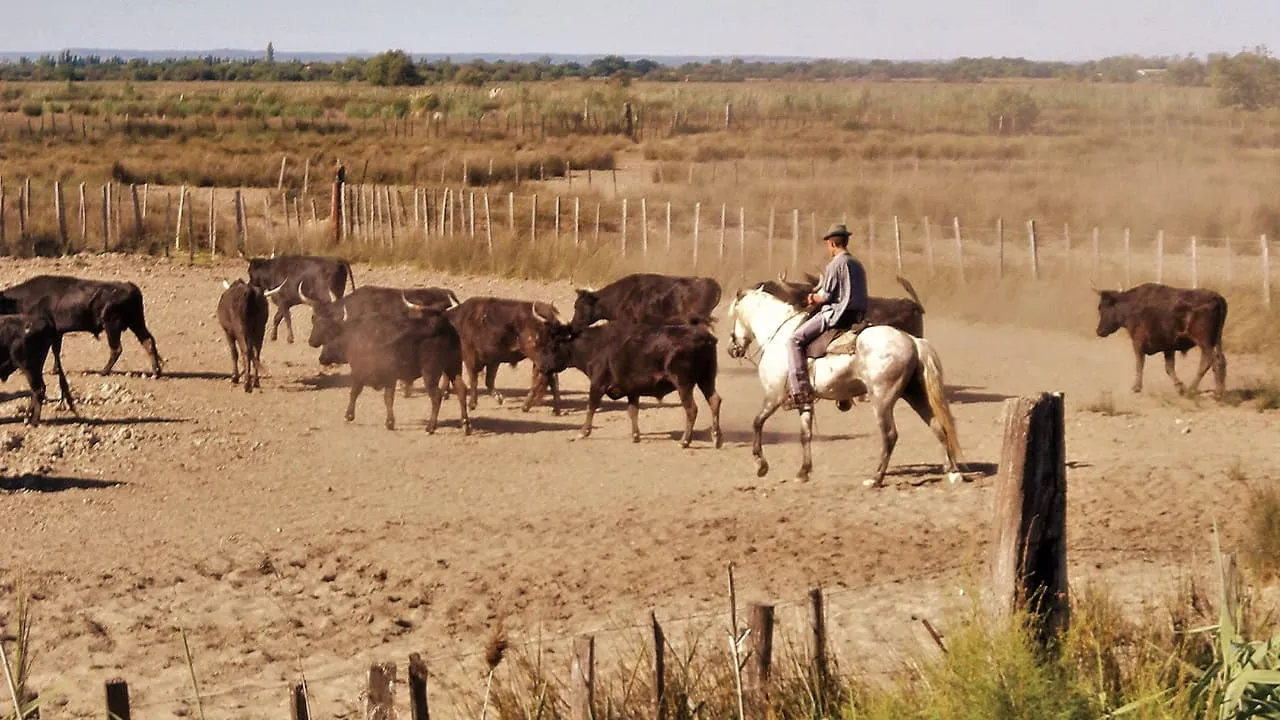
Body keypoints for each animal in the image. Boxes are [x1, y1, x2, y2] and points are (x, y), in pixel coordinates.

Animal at [318, 307, 471, 430]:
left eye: (329, 337)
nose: (321, 358)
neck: (357, 336)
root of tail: (441, 325)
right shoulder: (390, 379)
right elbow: (388, 398)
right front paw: (390, 422)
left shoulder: (360, 373)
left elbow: (355, 393)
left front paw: (349, 415)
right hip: (453, 367)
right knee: (461, 389)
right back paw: (465, 424)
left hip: (430, 373)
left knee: (436, 396)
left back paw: (430, 427)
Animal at [537, 320, 721, 445]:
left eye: (554, 344)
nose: (541, 366)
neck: (595, 345)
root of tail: (706, 337)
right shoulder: (632, 390)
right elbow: (633, 411)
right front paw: (635, 436)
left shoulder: (598, 383)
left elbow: (591, 407)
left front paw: (583, 432)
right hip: (707, 379)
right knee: (714, 401)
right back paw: (716, 438)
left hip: (684, 384)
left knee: (691, 409)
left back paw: (685, 441)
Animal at [727, 284, 962, 481]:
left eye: (734, 316)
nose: (732, 349)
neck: (780, 335)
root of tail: (912, 341)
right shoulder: (804, 399)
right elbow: (805, 434)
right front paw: (804, 471)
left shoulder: (773, 395)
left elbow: (757, 422)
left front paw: (761, 465)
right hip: (915, 394)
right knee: (937, 426)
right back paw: (952, 472)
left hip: (882, 400)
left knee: (890, 435)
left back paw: (876, 478)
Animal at [1095, 280, 1223, 397]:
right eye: (1099, 307)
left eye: (1104, 307)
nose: (1099, 331)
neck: (1131, 305)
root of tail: (1217, 298)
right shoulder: (1169, 348)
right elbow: (1169, 368)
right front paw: (1180, 387)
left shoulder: (1138, 343)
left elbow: (1139, 365)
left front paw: (1136, 387)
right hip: (1215, 341)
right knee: (1220, 360)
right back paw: (1218, 391)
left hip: (1204, 343)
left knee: (1210, 362)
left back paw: (1197, 390)